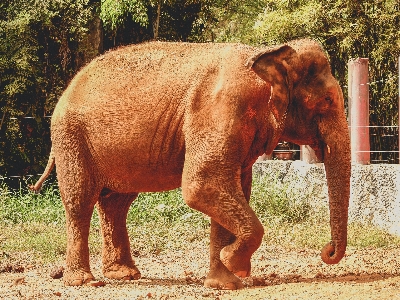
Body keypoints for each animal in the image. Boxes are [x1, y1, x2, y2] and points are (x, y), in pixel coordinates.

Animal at [31, 38, 350, 290]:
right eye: (326, 100)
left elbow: (232, 188)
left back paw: (125, 275)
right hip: (71, 137)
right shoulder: (218, 111)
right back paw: (84, 281)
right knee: (80, 201)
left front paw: (225, 281)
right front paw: (234, 264)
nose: (327, 251)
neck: (264, 54)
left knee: (116, 203)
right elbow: (202, 185)